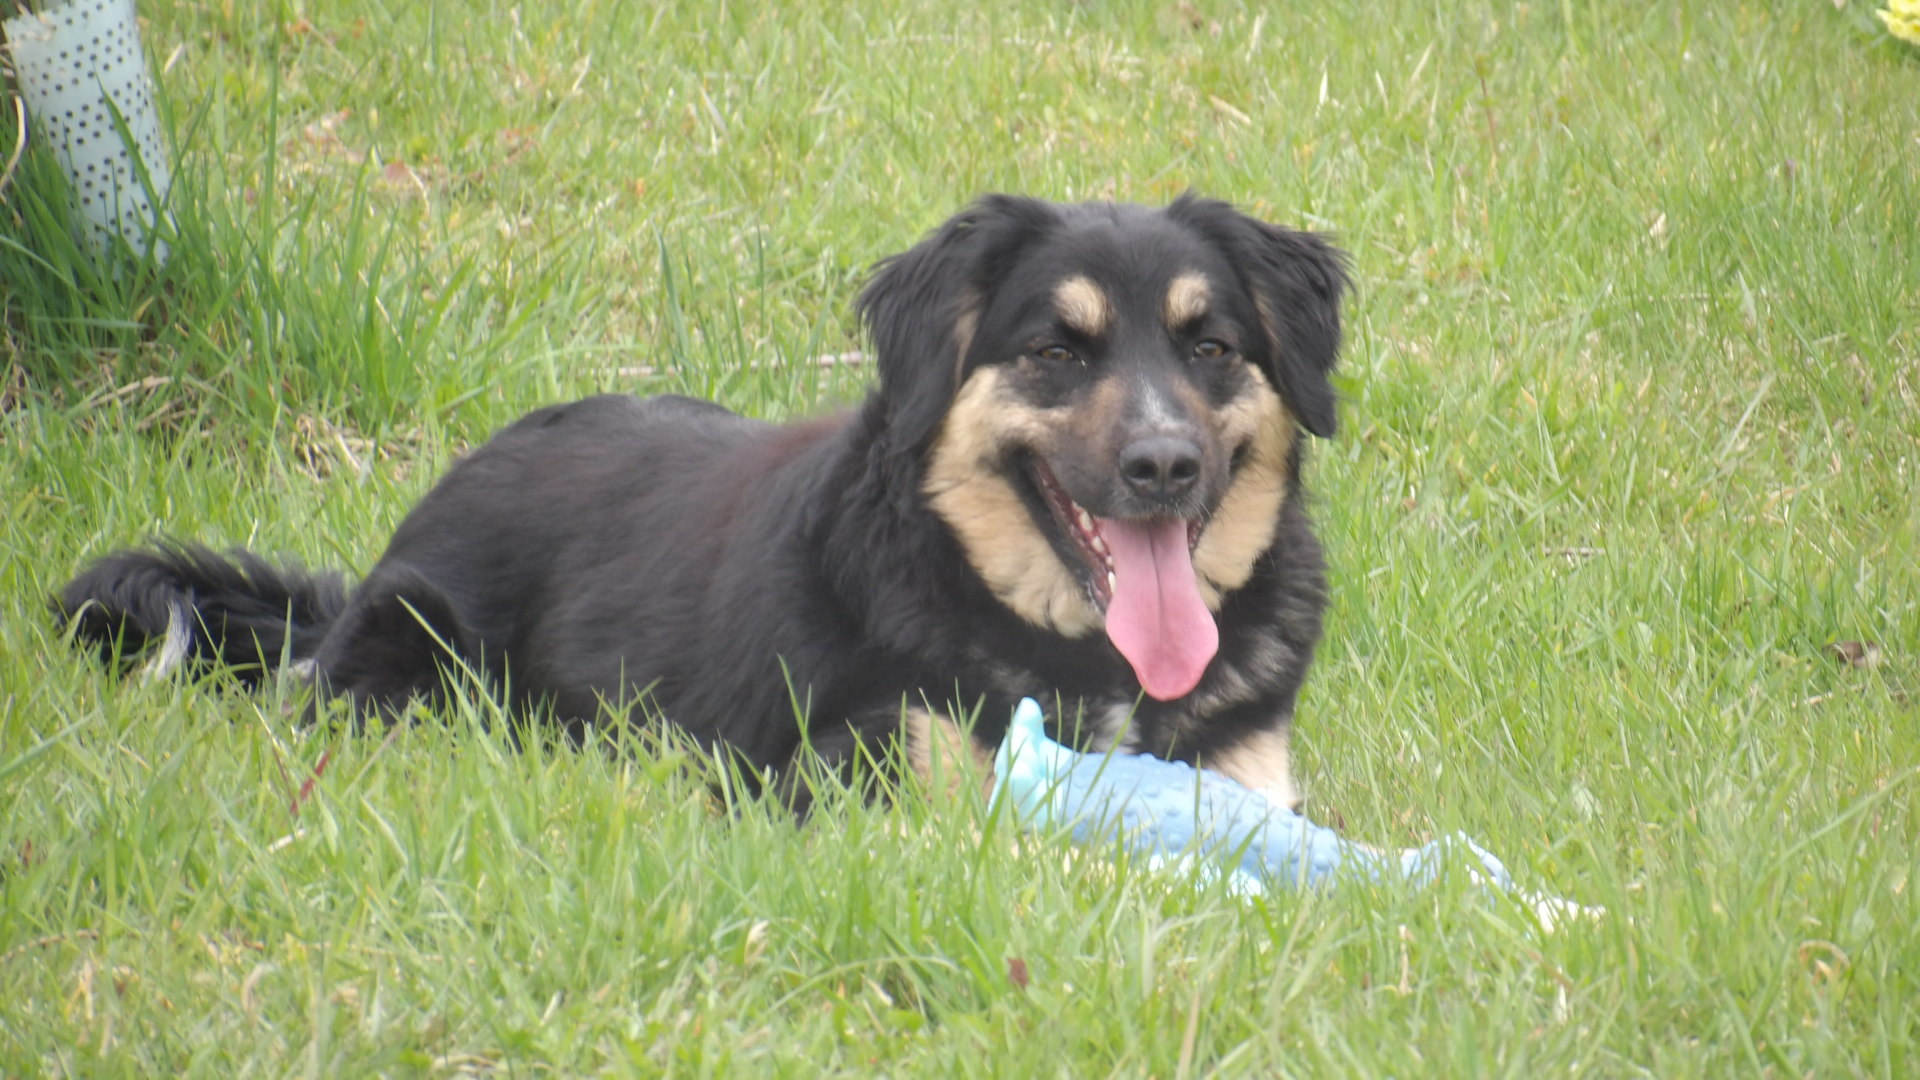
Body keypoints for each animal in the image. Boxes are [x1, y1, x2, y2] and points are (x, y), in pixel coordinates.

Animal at [58, 194, 1347, 812]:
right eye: (1056, 352)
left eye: (1211, 346)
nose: (1165, 466)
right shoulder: (847, 768)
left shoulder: (1248, 766)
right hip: (412, 670)